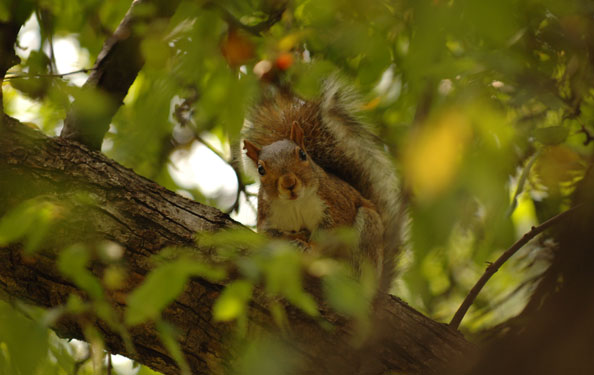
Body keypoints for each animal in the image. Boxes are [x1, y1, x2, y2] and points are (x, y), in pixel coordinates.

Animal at [240, 79, 402, 294]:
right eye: (260, 169)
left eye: (302, 154)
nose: (289, 183)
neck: (295, 203)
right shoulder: (267, 216)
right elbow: (270, 235)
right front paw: (297, 237)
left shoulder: (335, 202)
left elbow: (331, 232)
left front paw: (310, 246)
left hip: (369, 230)